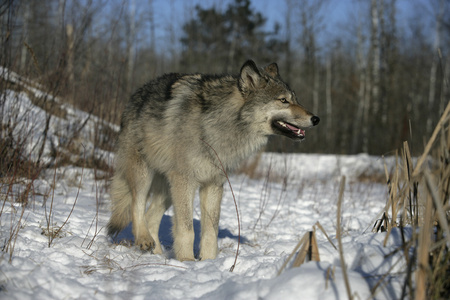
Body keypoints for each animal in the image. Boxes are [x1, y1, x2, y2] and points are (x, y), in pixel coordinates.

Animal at [107, 60, 318, 260]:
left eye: (296, 99)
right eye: (283, 100)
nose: (316, 119)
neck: (219, 124)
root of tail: (135, 95)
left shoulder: (213, 184)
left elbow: (210, 232)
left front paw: (208, 262)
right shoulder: (186, 181)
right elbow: (187, 230)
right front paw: (187, 261)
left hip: (168, 189)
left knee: (150, 216)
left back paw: (157, 256)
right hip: (145, 174)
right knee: (137, 206)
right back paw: (144, 240)